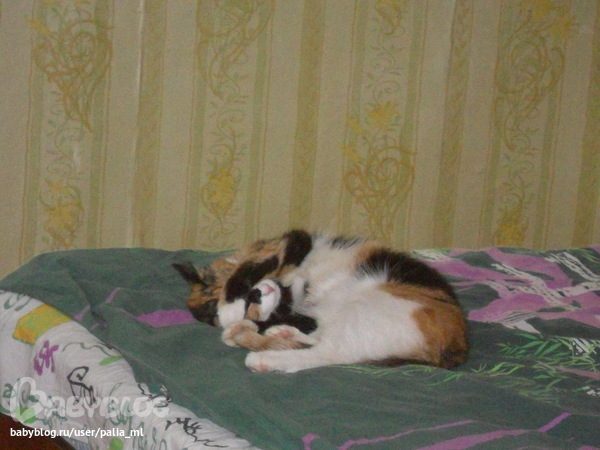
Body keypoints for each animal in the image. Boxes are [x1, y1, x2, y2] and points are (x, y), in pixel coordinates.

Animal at [173, 229, 469, 373]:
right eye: (252, 309)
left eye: (248, 299)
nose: (255, 294)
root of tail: (456, 348)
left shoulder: (289, 242)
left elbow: (246, 267)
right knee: (326, 347)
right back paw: (279, 339)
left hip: (369, 307)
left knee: (331, 352)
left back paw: (264, 358)